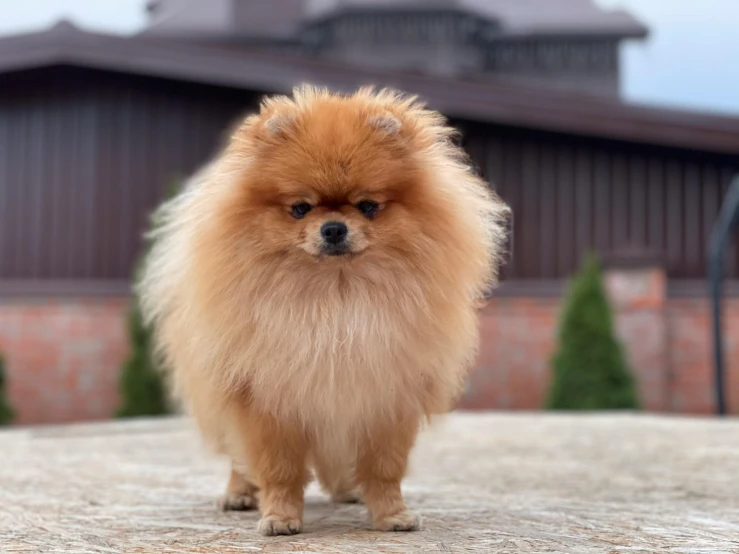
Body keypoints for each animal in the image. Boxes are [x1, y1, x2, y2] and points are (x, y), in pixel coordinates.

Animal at [137, 86, 508, 536]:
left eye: (367, 206)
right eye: (301, 208)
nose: (333, 228)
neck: (336, 297)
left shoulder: (386, 397)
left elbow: (385, 469)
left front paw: (391, 514)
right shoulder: (265, 400)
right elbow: (278, 468)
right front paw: (279, 516)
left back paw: (349, 490)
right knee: (238, 457)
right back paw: (239, 493)